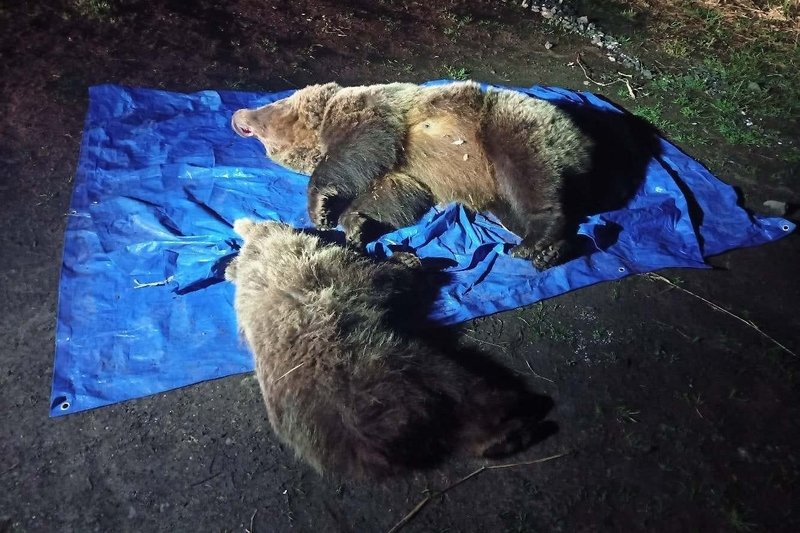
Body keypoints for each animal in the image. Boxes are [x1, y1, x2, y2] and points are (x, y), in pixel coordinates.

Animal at [233, 81, 656, 268]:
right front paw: (355, 222)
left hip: (511, 126)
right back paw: (553, 249)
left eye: (270, 108)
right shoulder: (409, 170)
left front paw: (321, 204)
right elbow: (397, 192)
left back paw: (535, 241)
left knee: (532, 176)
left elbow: (363, 142)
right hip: (496, 191)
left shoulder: (375, 111)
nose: (238, 116)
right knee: (520, 205)